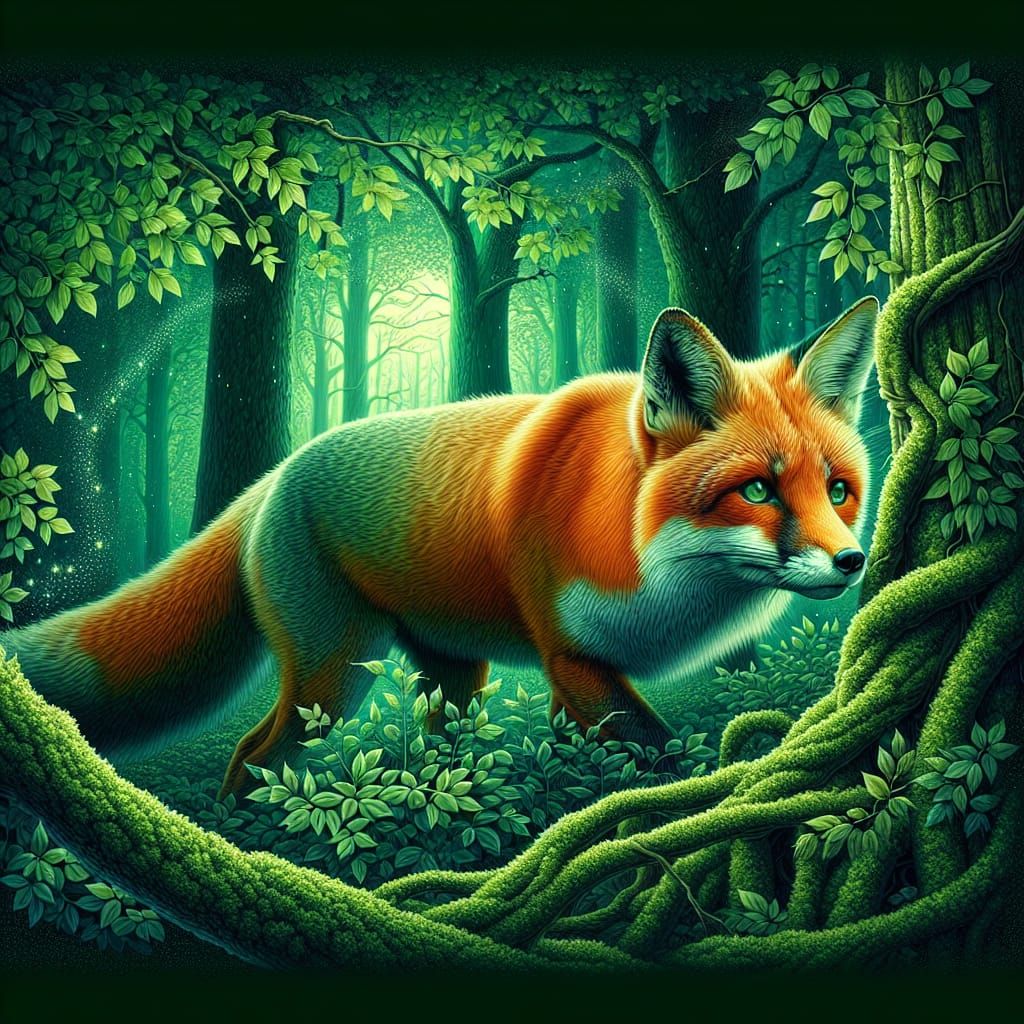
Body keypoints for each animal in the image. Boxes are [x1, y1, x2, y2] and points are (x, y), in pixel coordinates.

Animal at [2, 297, 878, 797]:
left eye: (838, 490)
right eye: (758, 492)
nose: (852, 562)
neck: (654, 567)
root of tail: (277, 474)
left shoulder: (572, 678)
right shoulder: (574, 660)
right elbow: (668, 757)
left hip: (456, 676)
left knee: (432, 746)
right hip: (336, 676)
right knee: (255, 755)